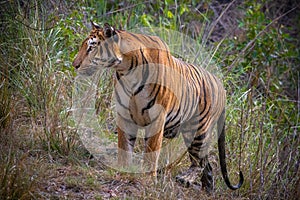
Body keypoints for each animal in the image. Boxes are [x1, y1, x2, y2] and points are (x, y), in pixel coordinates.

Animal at [72, 21, 244, 191]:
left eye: (91, 47)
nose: (74, 65)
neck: (126, 70)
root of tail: (221, 85)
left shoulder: (157, 117)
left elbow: (151, 151)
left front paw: (148, 180)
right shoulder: (125, 116)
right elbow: (124, 147)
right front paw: (122, 171)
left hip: (197, 130)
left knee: (199, 163)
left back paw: (185, 178)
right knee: (207, 167)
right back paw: (206, 190)